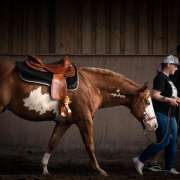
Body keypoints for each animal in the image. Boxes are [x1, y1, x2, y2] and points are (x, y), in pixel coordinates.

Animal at [0, 59, 158, 176]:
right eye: (147, 102)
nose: (154, 125)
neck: (92, 85)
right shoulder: (85, 120)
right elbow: (90, 145)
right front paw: (99, 170)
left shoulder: (65, 122)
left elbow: (53, 142)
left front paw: (44, 169)